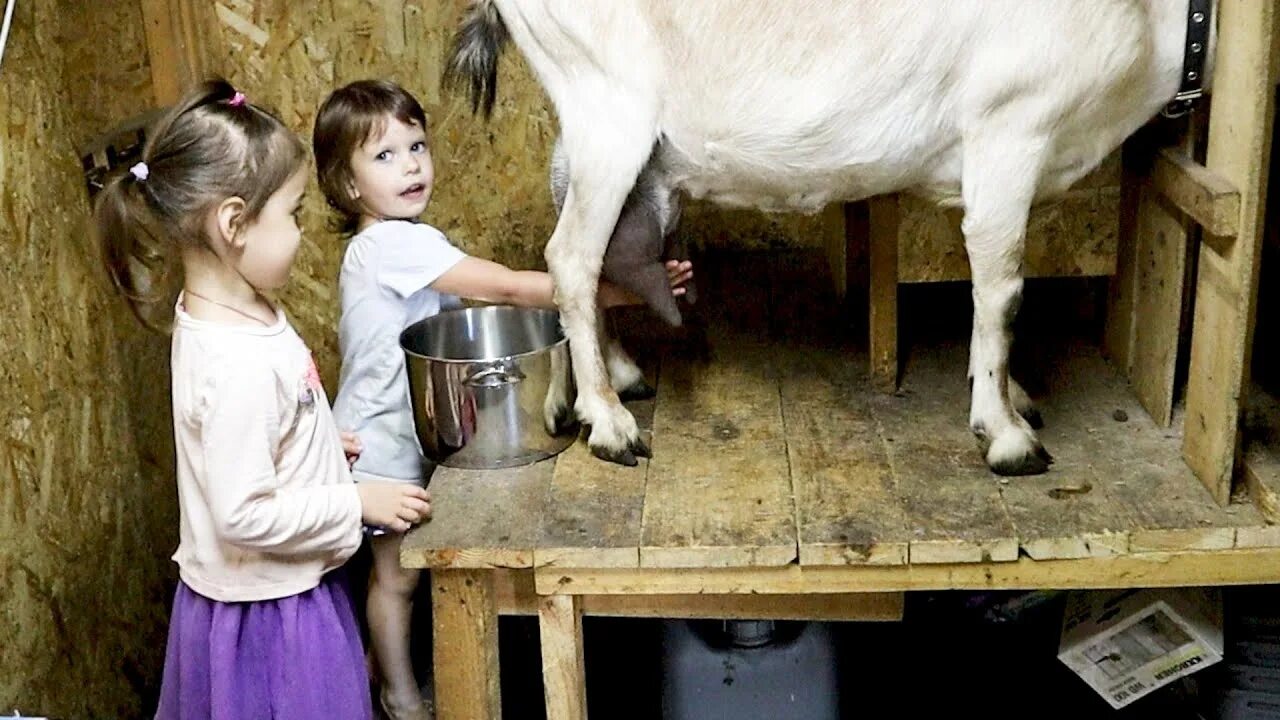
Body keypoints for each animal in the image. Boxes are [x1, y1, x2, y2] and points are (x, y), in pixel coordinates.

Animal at [445, 1, 1213, 471]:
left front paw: (1013, 396)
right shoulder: (1010, 128)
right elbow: (1002, 292)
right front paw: (1006, 436)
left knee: (593, 251)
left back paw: (618, 379)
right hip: (610, 106)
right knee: (570, 256)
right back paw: (608, 425)